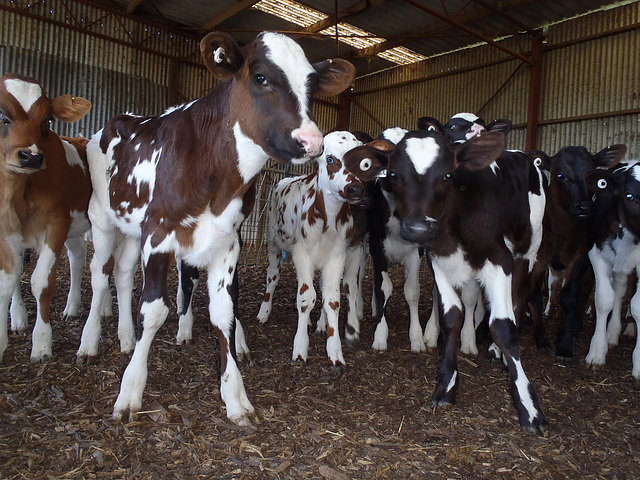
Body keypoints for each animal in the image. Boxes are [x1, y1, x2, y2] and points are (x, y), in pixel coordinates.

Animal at [0, 73, 91, 362]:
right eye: (1, 114)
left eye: (48, 120)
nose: (31, 156)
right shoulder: (6, 231)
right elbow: (8, 280)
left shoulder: (56, 223)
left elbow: (41, 281)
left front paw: (41, 343)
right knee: (77, 254)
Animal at [80, 31, 356, 426]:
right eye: (260, 77)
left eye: (312, 85)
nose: (312, 142)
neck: (214, 171)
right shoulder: (159, 234)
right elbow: (155, 310)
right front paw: (130, 390)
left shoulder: (226, 242)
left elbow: (224, 312)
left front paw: (234, 395)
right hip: (102, 218)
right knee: (100, 274)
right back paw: (89, 342)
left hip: (133, 231)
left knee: (122, 274)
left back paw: (126, 337)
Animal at [256, 131, 368, 364]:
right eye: (330, 159)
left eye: (364, 163)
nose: (355, 189)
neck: (328, 220)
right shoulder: (302, 253)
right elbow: (306, 297)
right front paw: (300, 348)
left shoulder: (337, 255)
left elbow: (331, 299)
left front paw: (335, 352)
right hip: (273, 242)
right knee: (272, 277)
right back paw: (264, 312)